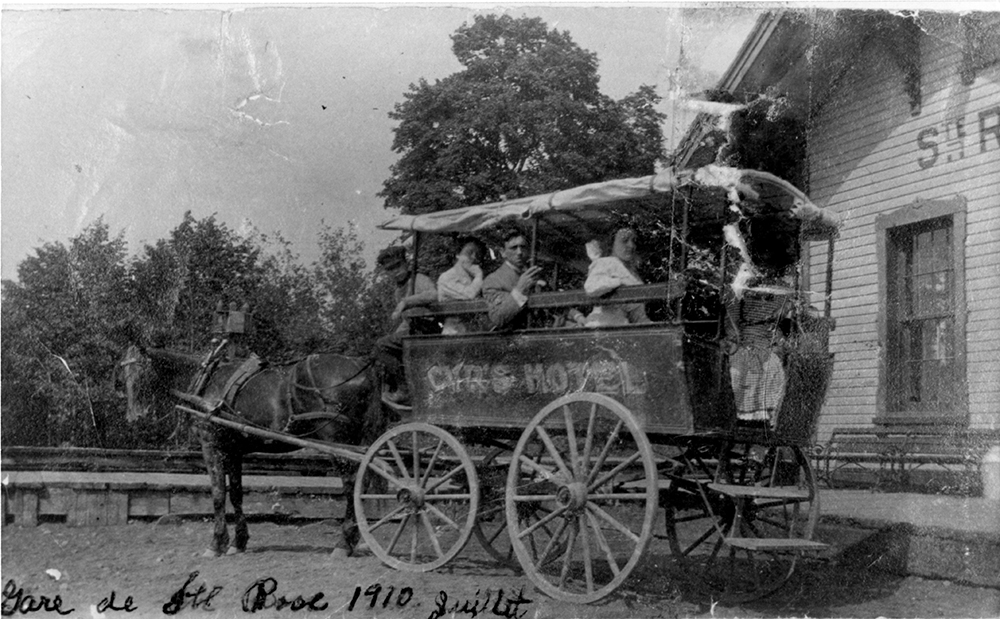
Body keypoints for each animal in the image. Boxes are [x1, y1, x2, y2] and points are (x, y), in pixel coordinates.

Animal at [123, 342, 388, 560]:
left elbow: (218, 494)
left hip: (337, 443)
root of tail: (362, 367)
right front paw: (238, 542)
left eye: (141, 373)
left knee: (352, 486)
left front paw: (216, 544)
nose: (135, 416)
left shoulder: (212, 445)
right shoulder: (233, 450)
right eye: (123, 376)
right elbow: (236, 494)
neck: (206, 380)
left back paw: (343, 543)